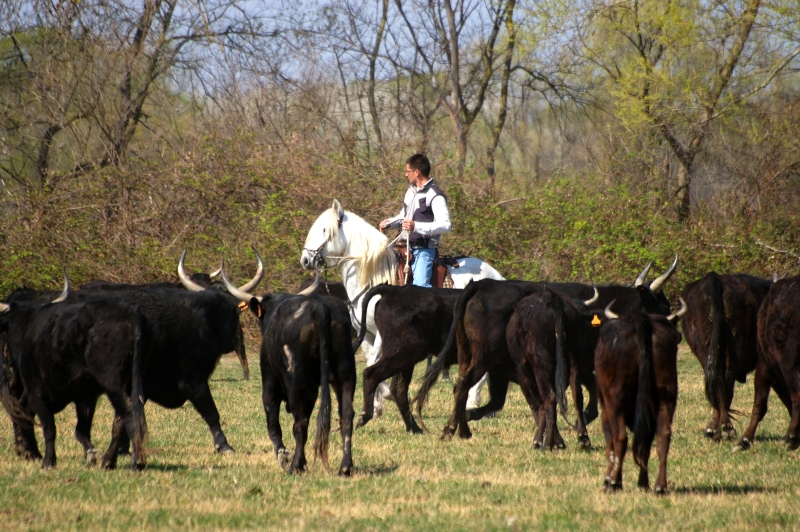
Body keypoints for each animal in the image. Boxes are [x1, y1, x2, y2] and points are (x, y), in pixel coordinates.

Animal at [300, 200, 506, 412]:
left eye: (325, 230)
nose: (305, 260)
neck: (375, 277)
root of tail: (496, 276)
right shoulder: (365, 334)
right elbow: (370, 361)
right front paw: (377, 405)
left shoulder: (384, 335)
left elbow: (373, 362)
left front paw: (386, 396)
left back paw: (472, 402)